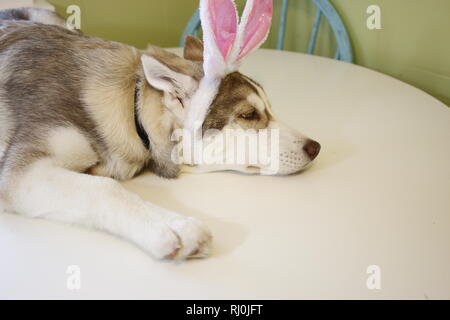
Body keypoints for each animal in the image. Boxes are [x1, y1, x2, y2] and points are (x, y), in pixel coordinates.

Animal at [0, 6, 320, 260]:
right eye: (248, 115)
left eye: (268, 109)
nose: (315, 147)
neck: (129, 106)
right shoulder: (20, 175)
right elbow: (105, 188)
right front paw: (173, 226)